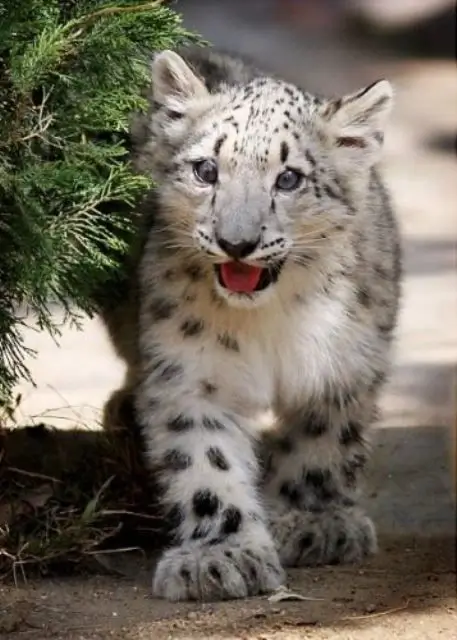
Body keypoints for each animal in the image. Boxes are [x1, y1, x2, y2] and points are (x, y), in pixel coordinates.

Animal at [98, 46, 402, 602]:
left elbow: (323, 441)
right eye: (206, 170)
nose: (236, 242)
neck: (272, 317)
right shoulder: (191, 374)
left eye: (289, 178)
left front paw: (313, 522)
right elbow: (205, 461)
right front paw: (221, 557)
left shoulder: (346, 364)